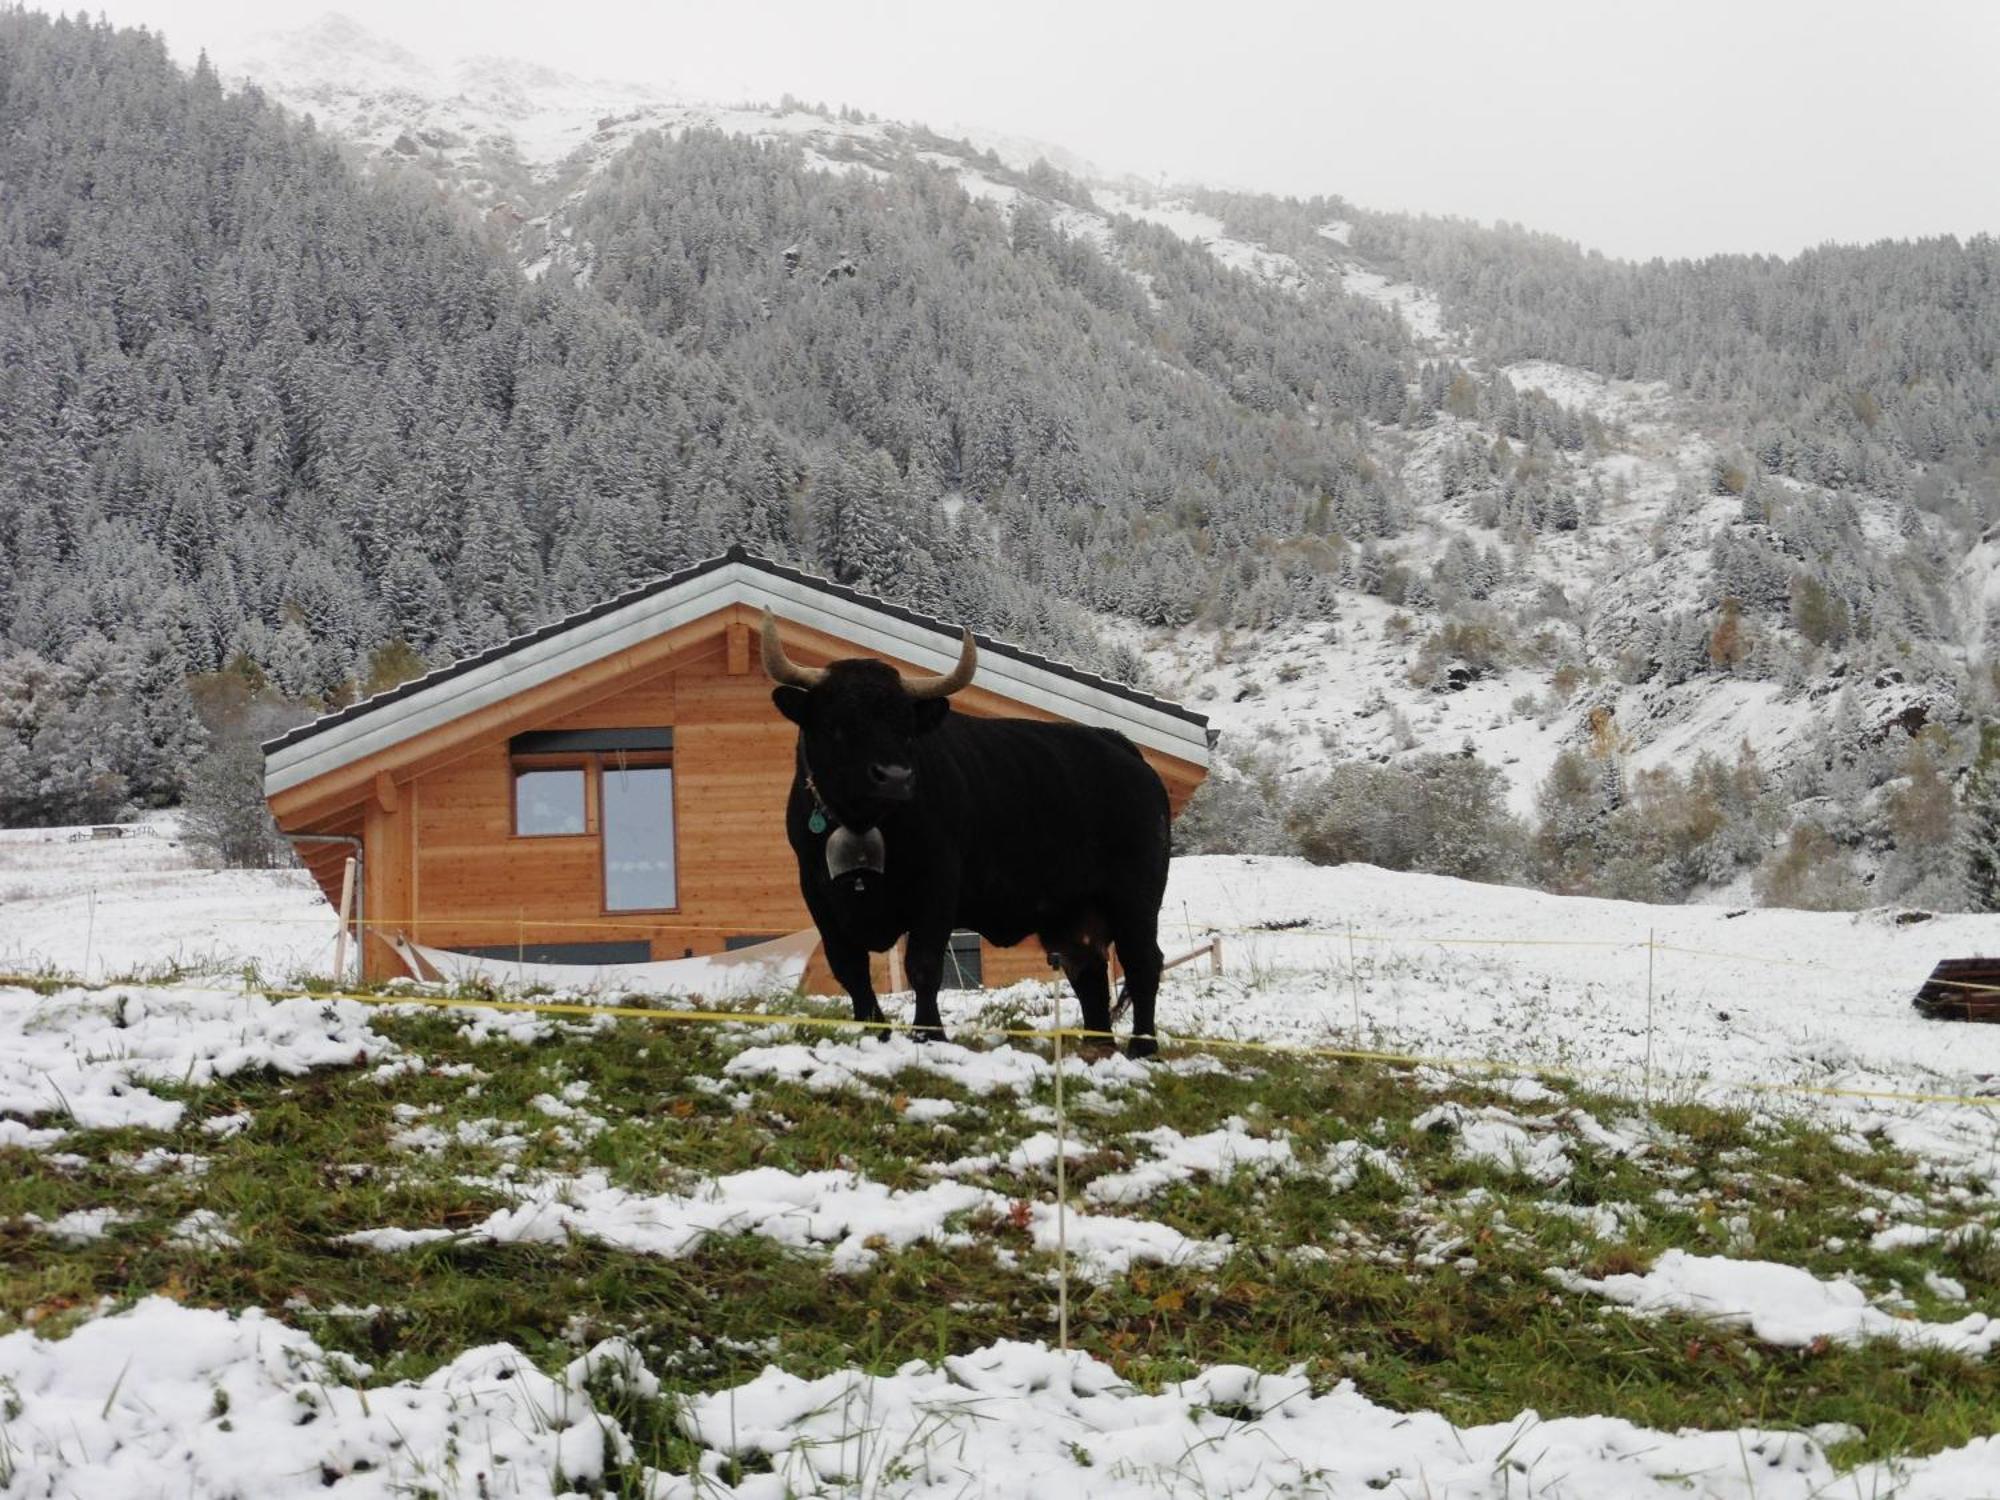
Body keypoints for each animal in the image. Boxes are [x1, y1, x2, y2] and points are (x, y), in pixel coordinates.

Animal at [760, 612, 1168, 1056]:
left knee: (1143, 961)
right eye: (837, 724)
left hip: (1135, 896)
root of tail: (1118, 745)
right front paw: (876, 1034)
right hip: (1069, 910)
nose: (895, 777)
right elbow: (850, 969)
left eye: (906, 727)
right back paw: (1096, 1047)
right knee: (1088, 969)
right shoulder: (818, 895)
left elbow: (922, 964)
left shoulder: (937, 886)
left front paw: (929, 1034)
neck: (864, 822)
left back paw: (1142, 1047)